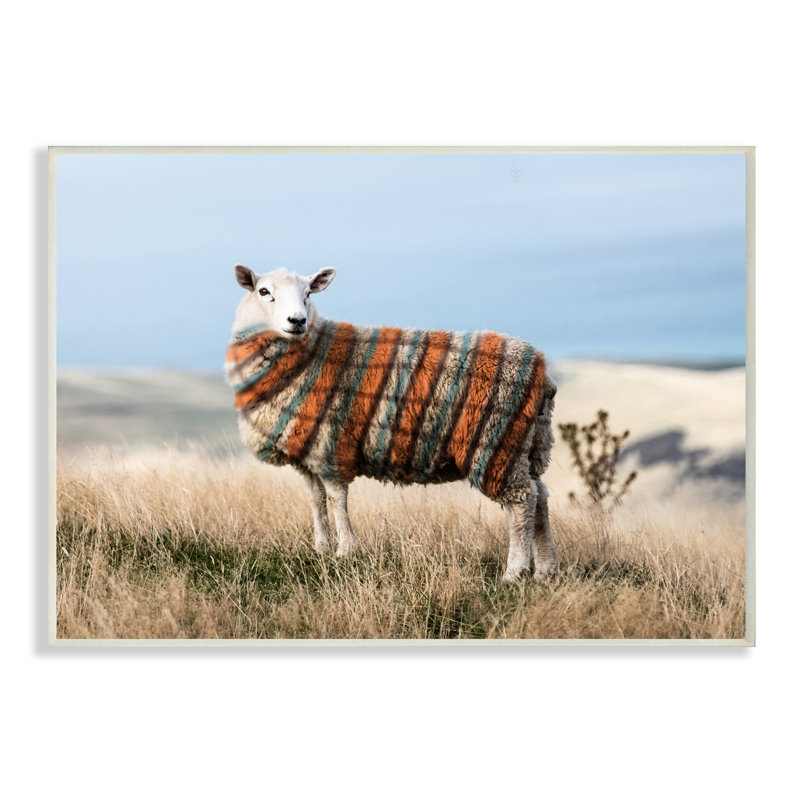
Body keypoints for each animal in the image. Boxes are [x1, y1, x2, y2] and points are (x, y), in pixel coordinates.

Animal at [225, 264, 559, 582]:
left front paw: (346, 550)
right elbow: (316, 500)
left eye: (308, 293)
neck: (310, 353)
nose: (297, 321)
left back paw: (515, 571)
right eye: (264, 291)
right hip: (527, 444)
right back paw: (545, 569)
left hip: (495, 442)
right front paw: (321, 547)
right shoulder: (305, 449)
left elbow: (336, 498)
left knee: (522, 500)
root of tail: (541, 370)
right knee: (540, 496)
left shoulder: (329, 444)